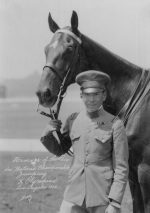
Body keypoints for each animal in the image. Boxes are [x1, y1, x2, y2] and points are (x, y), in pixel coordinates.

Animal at [36, 10, 150, 213]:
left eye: (69, 49)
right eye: (46, 49)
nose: (43, 93)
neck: (136, 99)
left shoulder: (145, 172)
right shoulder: (132, 172)